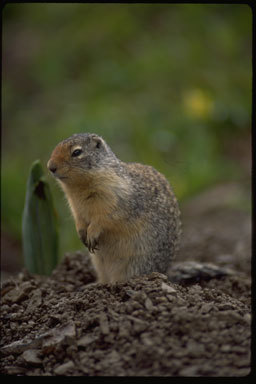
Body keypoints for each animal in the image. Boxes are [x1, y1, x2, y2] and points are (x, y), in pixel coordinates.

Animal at [47, 134, 181, 284]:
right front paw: (82, 234)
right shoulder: (75, 206)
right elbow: (79, 219)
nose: (50, 167)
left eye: (76, 152)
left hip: (135, 264)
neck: (79, 188)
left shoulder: (114, 199)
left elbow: (104, 218)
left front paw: (92, 233)